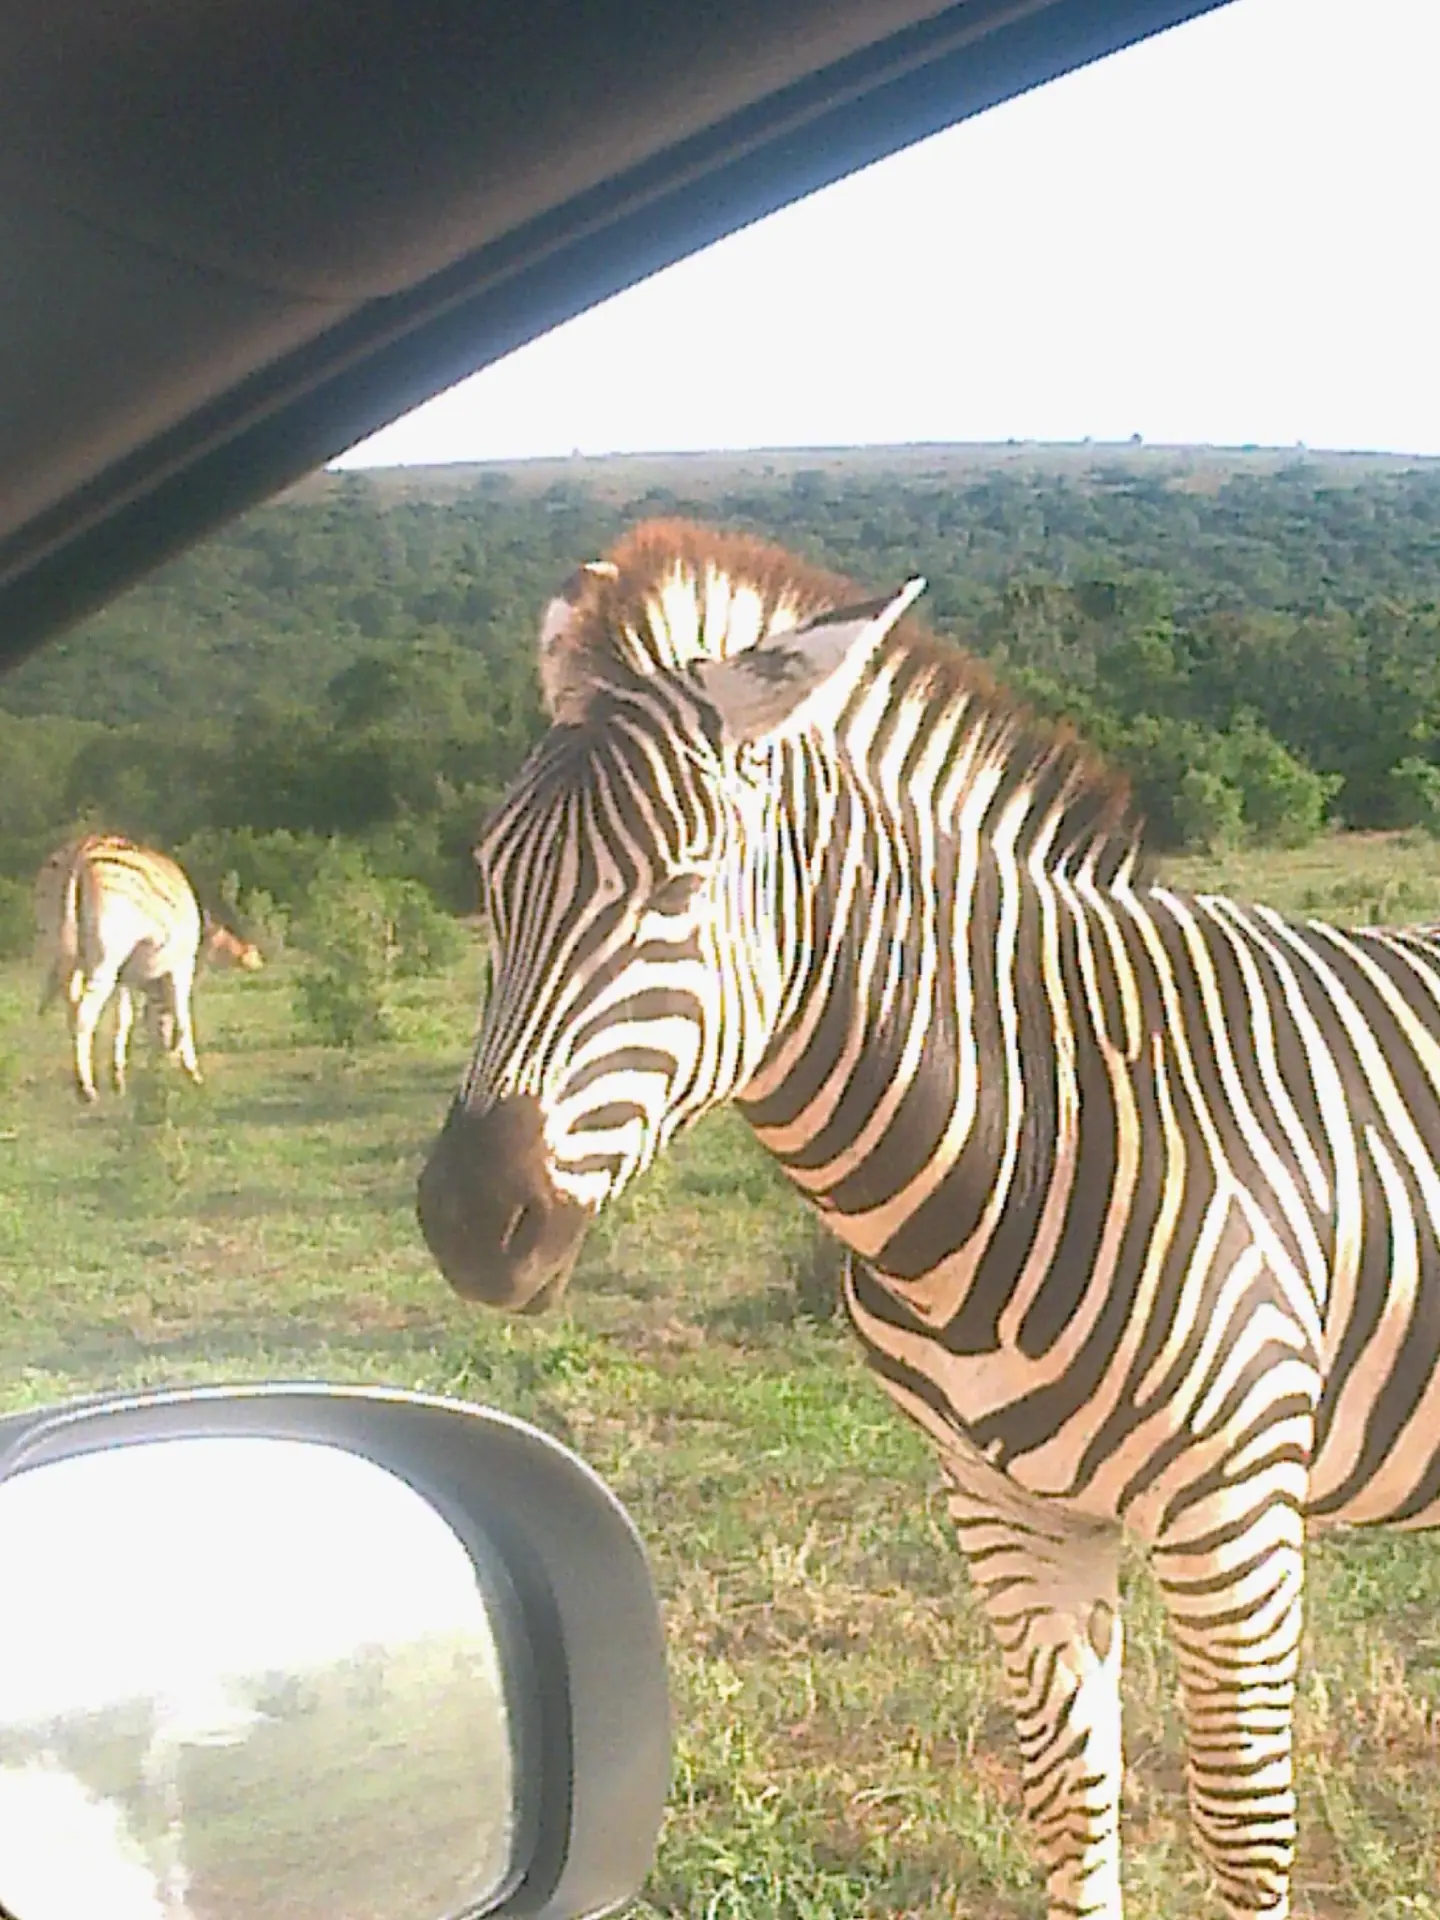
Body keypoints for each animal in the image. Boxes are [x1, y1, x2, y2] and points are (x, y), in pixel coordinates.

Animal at [36, 834, 263, 1102]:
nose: (256, 960)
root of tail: (82, 851)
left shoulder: (125, 978)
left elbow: (127, 1019)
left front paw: (120, 1079)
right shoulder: (181, 966)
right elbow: (181, 1016)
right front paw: (192, 1072)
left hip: (63, 955)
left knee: (71, 1011)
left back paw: (80, 1083)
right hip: (104, 962)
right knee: (84, 1015)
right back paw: (86, 1089)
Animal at [417, 518, 1440, 1920]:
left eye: (682, 884)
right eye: (488, 880)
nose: (469, 1217)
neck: (1034, 1124)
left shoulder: (1234, 1503)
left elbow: (1244, 1832)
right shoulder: (1001, 1504)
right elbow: (1070, 1802)